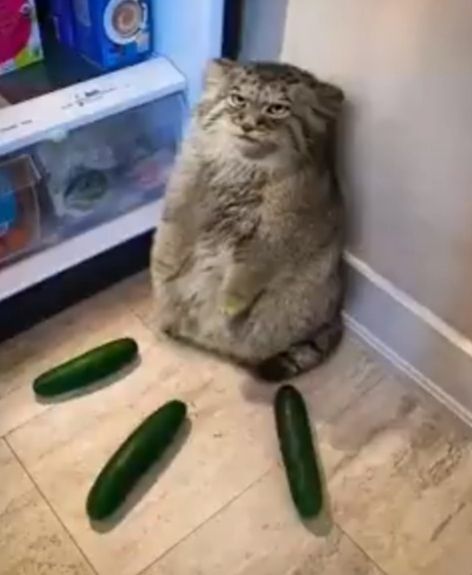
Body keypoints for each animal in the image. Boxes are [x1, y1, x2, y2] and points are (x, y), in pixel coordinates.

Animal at [151, 59, 345, 381]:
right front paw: (163, 266)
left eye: (277, 109)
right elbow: (175, 225)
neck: (242, 169)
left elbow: (253, 265)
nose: (248, 125)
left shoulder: (282, 224)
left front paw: (230, 302)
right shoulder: (187, 180)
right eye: (238, 99)